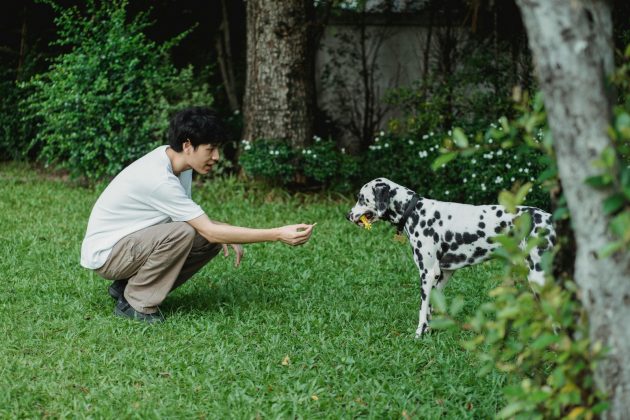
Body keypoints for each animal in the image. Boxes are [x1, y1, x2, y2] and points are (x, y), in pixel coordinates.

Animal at [346, 177, 556, 338]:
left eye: (361, 198)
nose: (348, 215)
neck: (415, 211)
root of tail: (550, 219)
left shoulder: (428, 273)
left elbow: (423, 309)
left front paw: (418, 334)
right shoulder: (444, 274)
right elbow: (431, 308)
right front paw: (428, 331)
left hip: (538, 278)